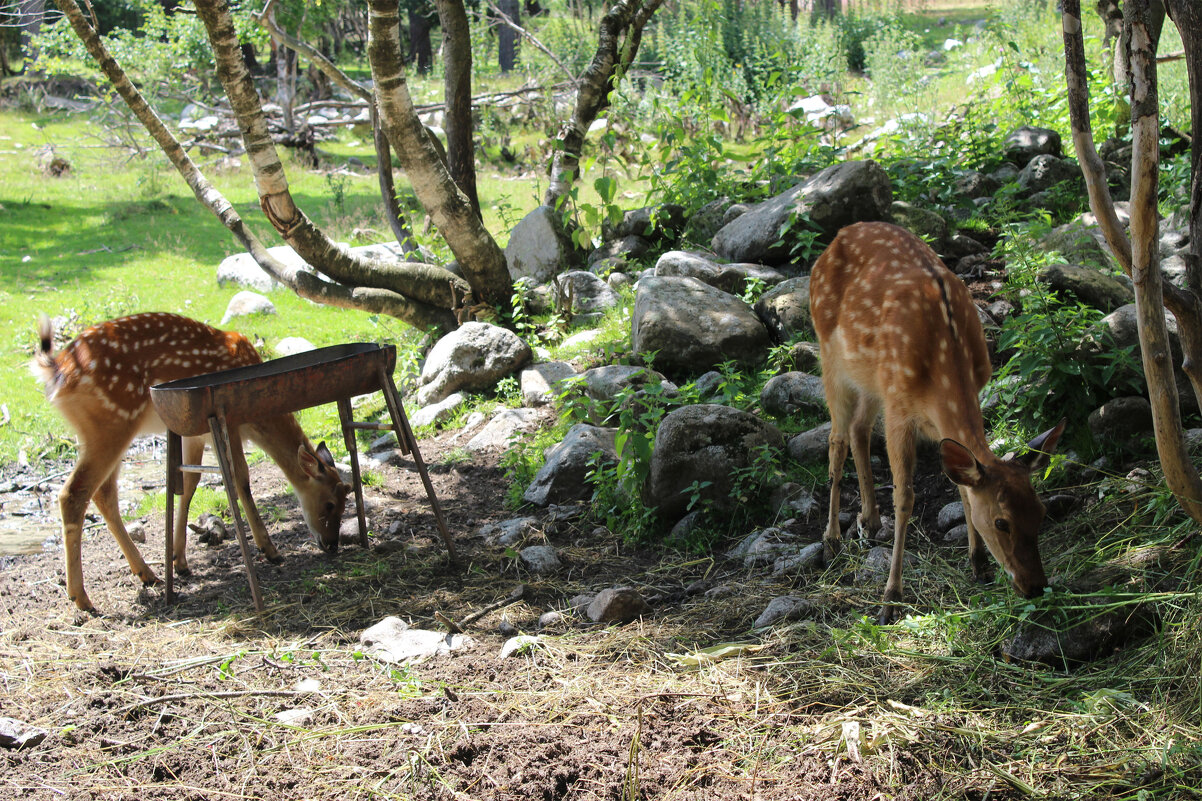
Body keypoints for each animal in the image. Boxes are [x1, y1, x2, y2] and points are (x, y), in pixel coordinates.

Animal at [32, 307, 350, 608]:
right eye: (330, 503)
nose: (332, 544)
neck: (257, 419)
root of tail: (57, 370)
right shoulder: (230, 422)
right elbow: (240, 479)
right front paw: (269, 550)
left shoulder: (193, 433)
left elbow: (188, 485)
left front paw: (180, 561)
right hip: (111, 422)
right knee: (74, 493)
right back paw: (81, 598)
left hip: (101, 431)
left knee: (104, 493)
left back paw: (147, 573)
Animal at [812, 222, 1067, 625]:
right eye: (1002, 522)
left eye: (1041, 513)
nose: (1036, 587)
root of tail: (836, 238)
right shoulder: (899, 407)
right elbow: (905, 497)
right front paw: (890, 599)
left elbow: (961, 486)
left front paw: (978, 563)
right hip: (830, 356)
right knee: (837, 438)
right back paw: (831, 540)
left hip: (869, 377)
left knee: (858, 430)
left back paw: (869, 522)